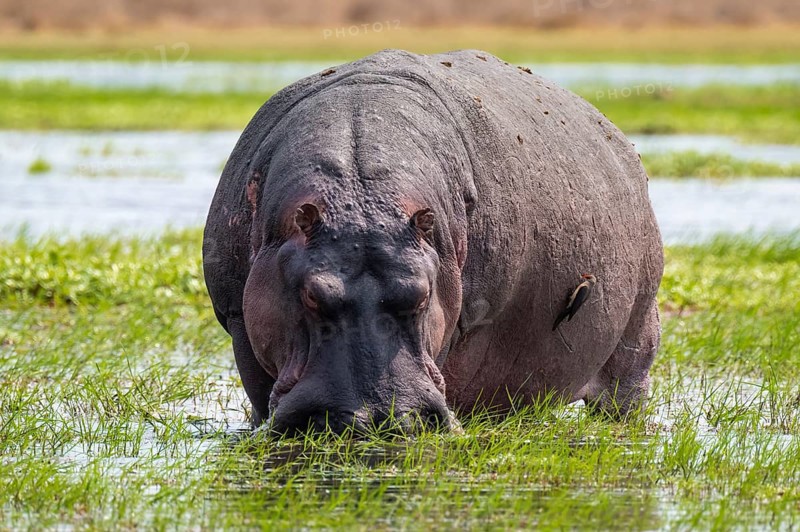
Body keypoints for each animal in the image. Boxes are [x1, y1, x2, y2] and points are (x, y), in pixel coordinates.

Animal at [203, 49, 663, 434]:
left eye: (423, 294)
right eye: (312, 295)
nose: (378, 418)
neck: (361, 194)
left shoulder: (458, 316)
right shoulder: (237, 317)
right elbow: (258, 392)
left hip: (638, 334)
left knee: (627, 390)